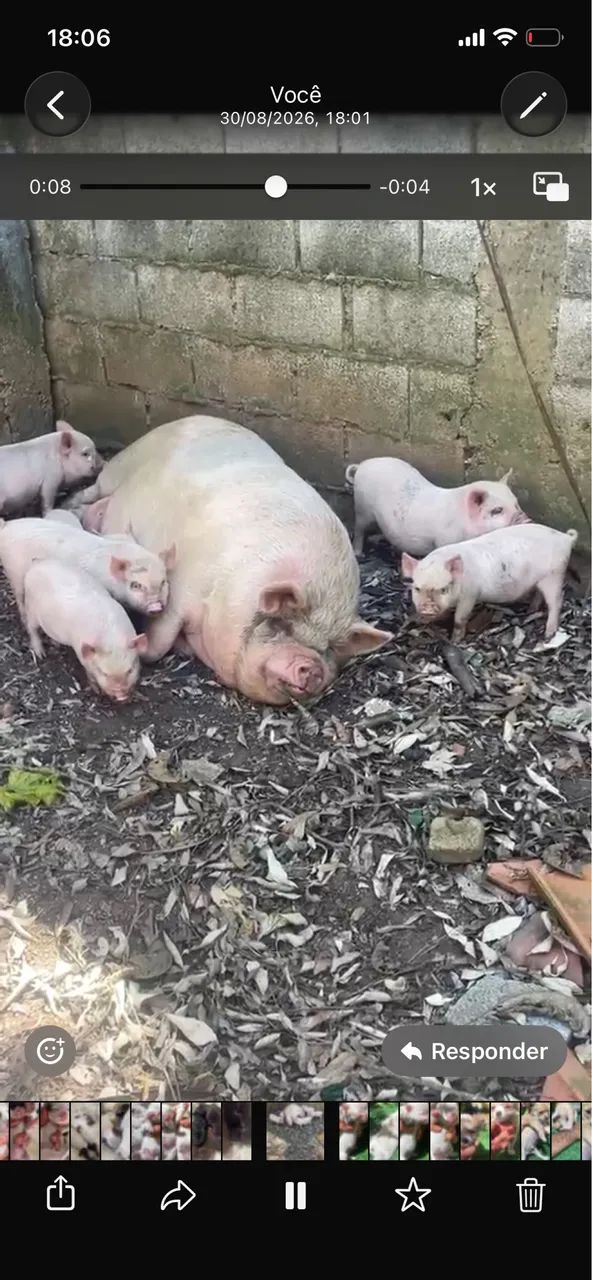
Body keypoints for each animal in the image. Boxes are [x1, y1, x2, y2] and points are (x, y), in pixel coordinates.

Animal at [22, 559, 147, 701]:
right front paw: (97, 691)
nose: (121, 695)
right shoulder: (81, 654)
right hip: (31, 609)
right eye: (103, 672)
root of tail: (36, 565)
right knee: (31, 628)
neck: (111, 639)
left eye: (130, 670)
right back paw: (41, 654)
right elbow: (89, 674)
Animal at [67, 415, 392, 705]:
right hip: (120, 466)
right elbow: (159, 641)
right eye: (282, 625)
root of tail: (192, 418)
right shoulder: (180, 588)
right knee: (94, 488)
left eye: (330, 647)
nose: (312, 668)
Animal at [345, 457, 529, 556]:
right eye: (497, 510)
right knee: (359, 528)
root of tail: (362, 465)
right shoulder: (444, 540)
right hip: (362, 507)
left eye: (516, 503)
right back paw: (358, 553)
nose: (526, 519)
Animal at [401, 523, 578, 642]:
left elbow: (460, 619)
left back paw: (548, 634)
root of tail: (566, 538)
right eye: (417, 588)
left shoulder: (470, 594)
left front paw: (455, 641)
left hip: (555, 574)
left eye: (444, 588)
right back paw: (530, 610)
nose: (427, 608)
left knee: (556, 601)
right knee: (539, 594)